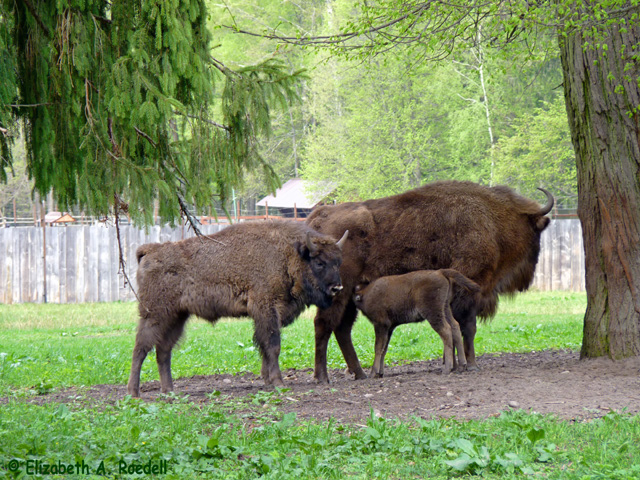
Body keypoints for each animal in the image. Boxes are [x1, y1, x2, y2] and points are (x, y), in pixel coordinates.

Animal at [126, 221, 350, 398]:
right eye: (319, 262)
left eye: (338, 262)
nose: (337, 288)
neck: (288, 253)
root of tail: (150, 251)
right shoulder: (266, 309)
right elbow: (273, 345)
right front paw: (278, 382)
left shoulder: (265, 316)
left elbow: (263, 346)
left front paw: (267, 380)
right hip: (154, 315)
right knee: (140, 348)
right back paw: (134, 393)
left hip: (176, 317)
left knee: (163, 351)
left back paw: (169, 391)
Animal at [304, 180, 552, 382]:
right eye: (536, 231)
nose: (528, 277)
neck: (493, 217)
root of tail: (317, 217)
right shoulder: (471, 293)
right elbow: (468, 328)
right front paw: (470, 364)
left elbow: (456, 328)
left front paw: (454, 363)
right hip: (338, 292)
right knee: (324, 325)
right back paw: (322, 377)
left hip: (348, 297)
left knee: (341, 329)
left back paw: (360, 373)